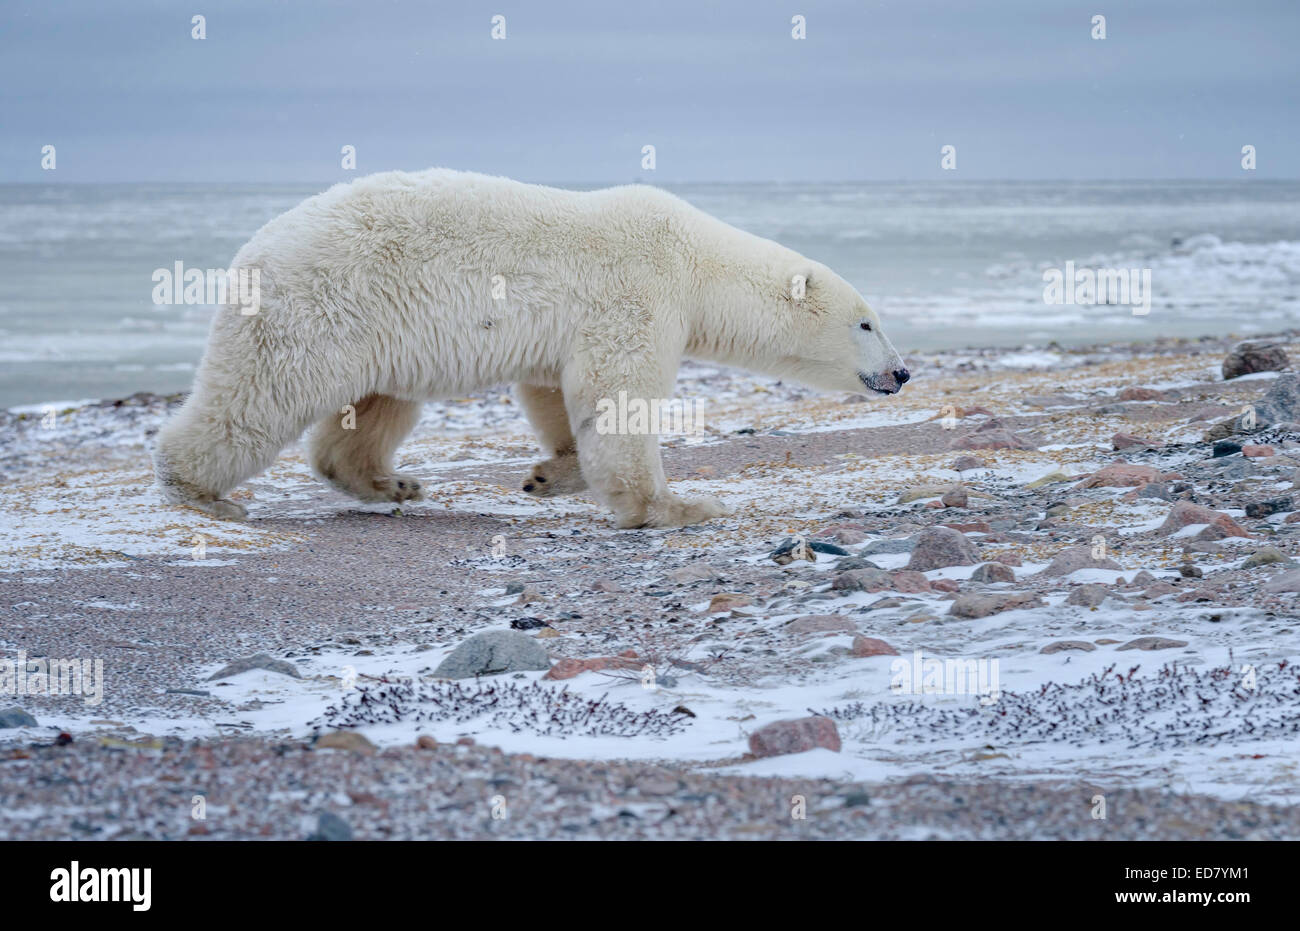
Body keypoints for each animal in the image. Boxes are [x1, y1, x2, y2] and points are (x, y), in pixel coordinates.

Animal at [157, 167, 909, 527]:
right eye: (867, 322)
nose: (902, 372)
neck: (696, 262)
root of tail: (254, 247)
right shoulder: (635, 294)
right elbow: (617, 395)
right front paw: (675, 507)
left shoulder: (578, 327)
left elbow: (555, 391)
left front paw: (549, 474)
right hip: (320, 306)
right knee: (260, 396)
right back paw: (200, 491)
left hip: (378, 329)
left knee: (377, 405)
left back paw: (391, 482)